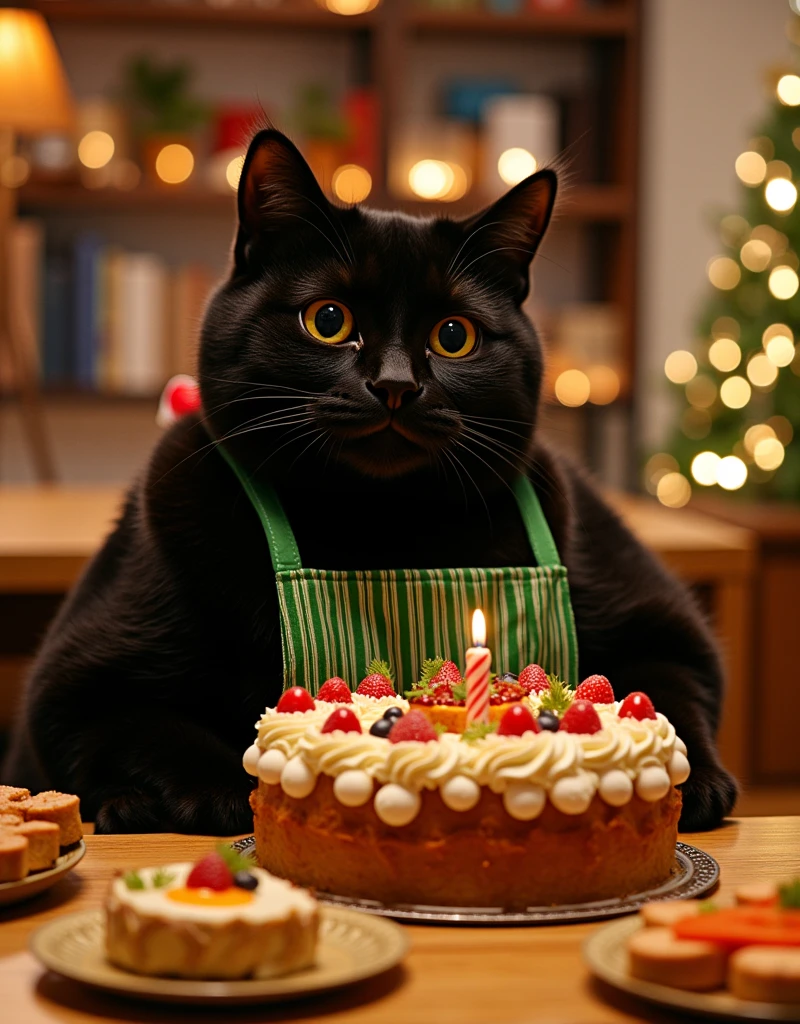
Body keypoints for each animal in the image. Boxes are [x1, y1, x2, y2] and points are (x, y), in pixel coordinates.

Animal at [1, 128, 737, 831]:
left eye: (454, 336)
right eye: (329, 320)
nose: (395, 385)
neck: (378, 521)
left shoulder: (660, 621)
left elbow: (674, 681)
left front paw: (698, 782)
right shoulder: (70, 684)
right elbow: (154, 729)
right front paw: (218, 795)